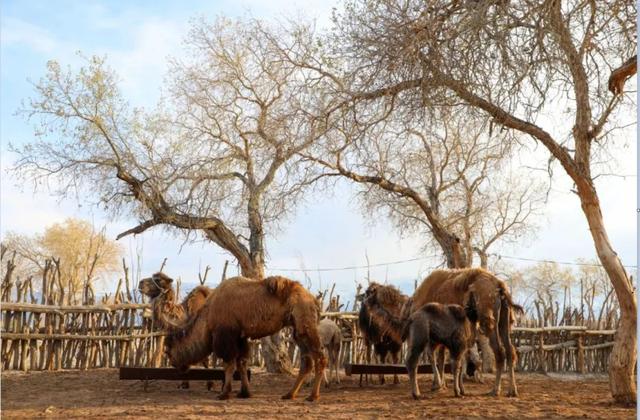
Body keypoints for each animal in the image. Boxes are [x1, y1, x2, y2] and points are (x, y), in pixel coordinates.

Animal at [162, 276, 328, 400]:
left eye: (168, 350)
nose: (176, 365)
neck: (208, 315)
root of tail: (314, 299)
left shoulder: (226, 336)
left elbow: (229, 364)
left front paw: (224, 394)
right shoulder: (240, 337)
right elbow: (241, 363)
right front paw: (244, 393)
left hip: (306, 327)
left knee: (320, 358)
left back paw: (313, 396)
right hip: (298, 331)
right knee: (307, 362)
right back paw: (289, 394)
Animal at [408, 270, 524, 398]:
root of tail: (500, 286)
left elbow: (437, 357)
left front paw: (439, 385)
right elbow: (445, 358)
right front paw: (447, 386)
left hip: (488, 323)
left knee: (499, 352)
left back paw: (495, 390)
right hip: (504, 323)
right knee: (509, 351)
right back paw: (512, 390)